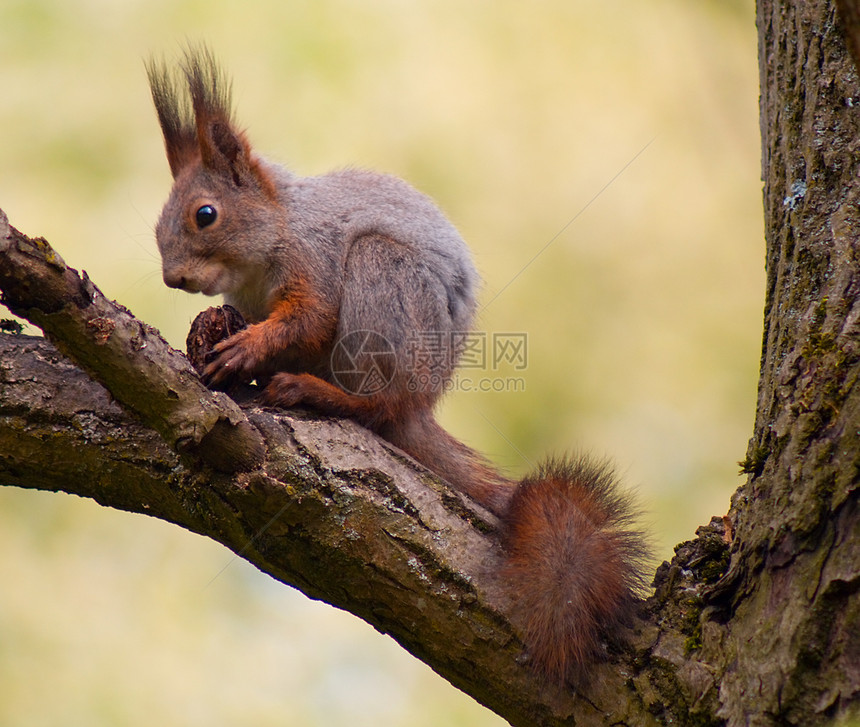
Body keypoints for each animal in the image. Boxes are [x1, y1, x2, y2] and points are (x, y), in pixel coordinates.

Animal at [146, 48, 644, 684]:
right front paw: (222, 337)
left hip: (381, 280)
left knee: (378, 404)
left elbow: (310, 318)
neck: (272, 237)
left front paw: (246, 349)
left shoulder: (317, 260)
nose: (173, 278)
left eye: (205, 214)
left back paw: (320, 393)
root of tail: (422, 398)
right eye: (158, 225)